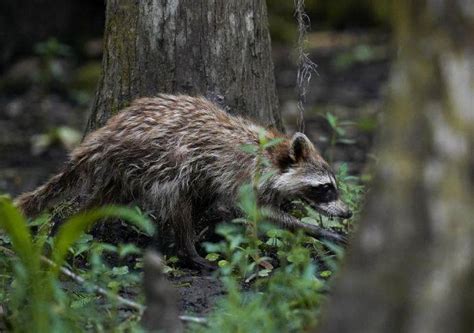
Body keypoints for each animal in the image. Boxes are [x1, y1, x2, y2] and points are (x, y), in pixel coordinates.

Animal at [15, 92, 352, 268]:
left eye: (333, 185)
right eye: (325, 188)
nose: (348, 212)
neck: (272, 153)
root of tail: (108, 132)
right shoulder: (242, 175)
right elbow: (258, 212)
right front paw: (314, 230)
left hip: (125, 171)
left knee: (105, 200)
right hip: (159, 157)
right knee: (176, 197)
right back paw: (187, 249)